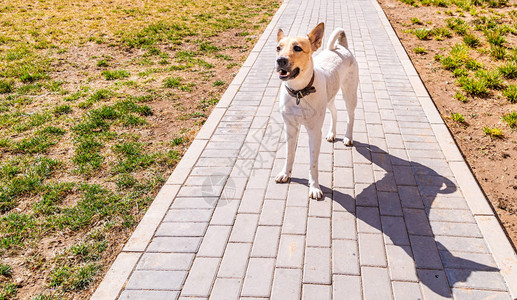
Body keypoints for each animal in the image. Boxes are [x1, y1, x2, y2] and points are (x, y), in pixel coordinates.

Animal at [274, 21, 358, 199]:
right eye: (278, 47)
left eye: (297, 48)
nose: (280, 60)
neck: (298, 92)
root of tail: (342, 48)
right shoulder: (290, 129)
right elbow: (289, 155)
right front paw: (285, 173)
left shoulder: (314, 132)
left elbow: (313, 164)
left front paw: (314, 187)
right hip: (329, 97)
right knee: (335, 112)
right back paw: (332, 133)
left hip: (349, 94)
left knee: (350, 116)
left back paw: (348, 137)